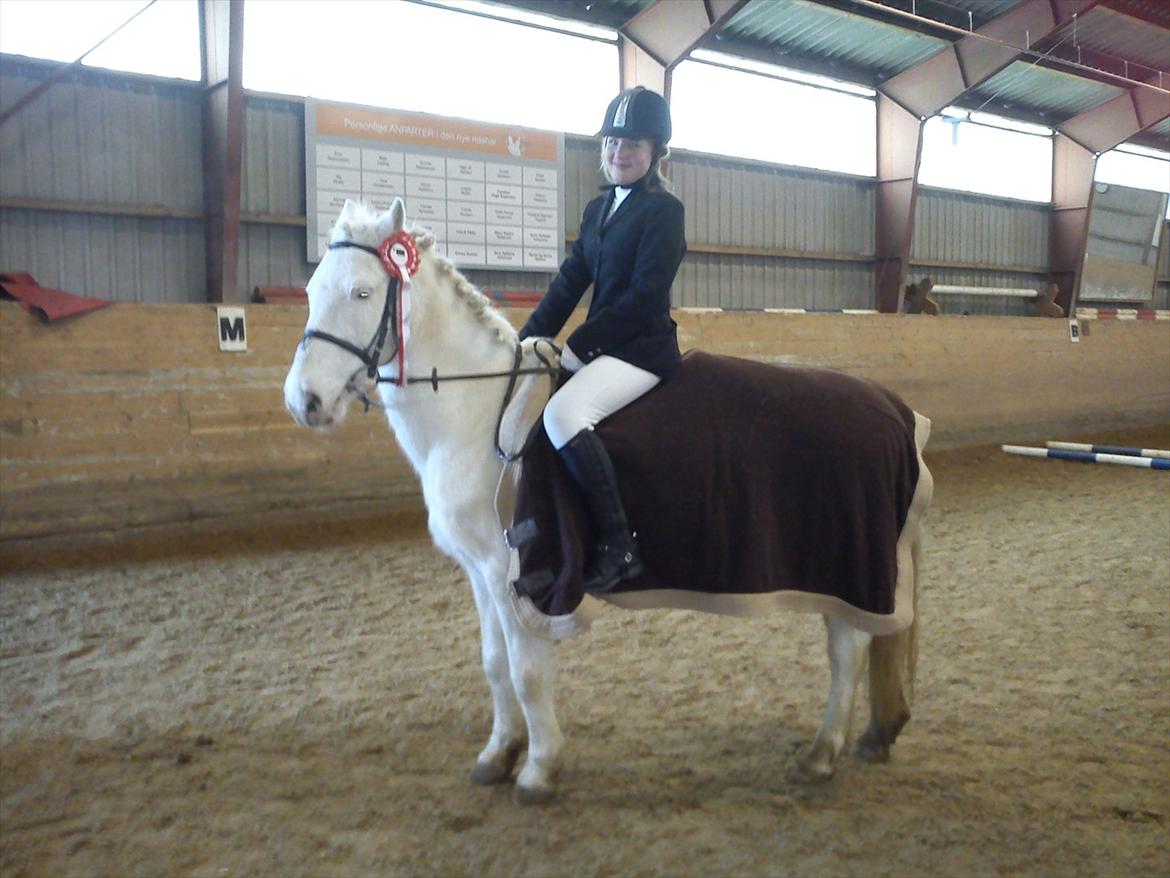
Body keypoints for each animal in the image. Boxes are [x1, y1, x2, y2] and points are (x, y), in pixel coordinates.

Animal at [284, 197, 930, 805]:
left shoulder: (516, 572)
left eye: (363, 292)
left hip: (849, 561)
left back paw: (821, 754)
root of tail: (894, 409)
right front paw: (499, 753)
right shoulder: (479, 572)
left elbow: (526, 672)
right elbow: (493, 664)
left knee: (847, 650)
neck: (476, 410)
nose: (303, 401)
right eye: (311, 291)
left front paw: (539, 769)